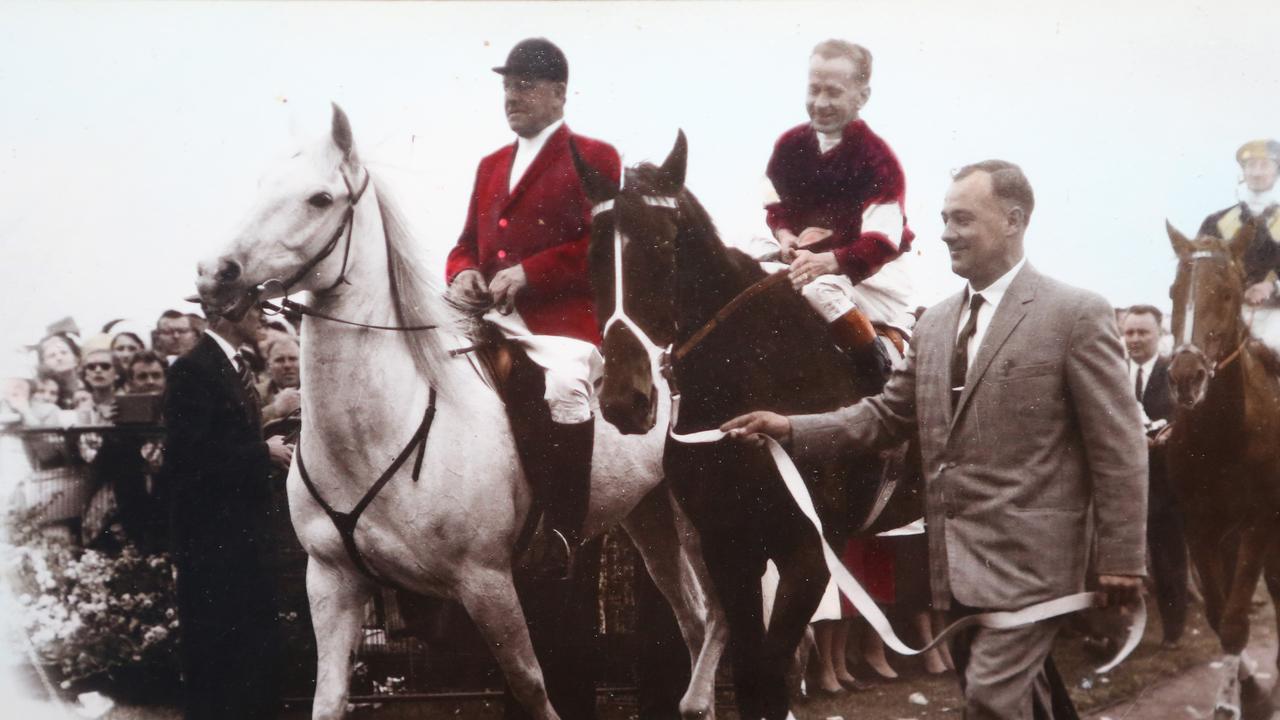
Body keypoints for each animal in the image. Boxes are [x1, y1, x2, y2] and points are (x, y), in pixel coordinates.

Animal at [194, 106, 727, 717]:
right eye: (261, 186)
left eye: (320, 198)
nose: (215, 273)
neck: (375, 432)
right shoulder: (331, 581)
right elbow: (327, 699)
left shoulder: (486, 582)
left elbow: (531, 685)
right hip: (649, 514)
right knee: (693, 618)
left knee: (720, 615)